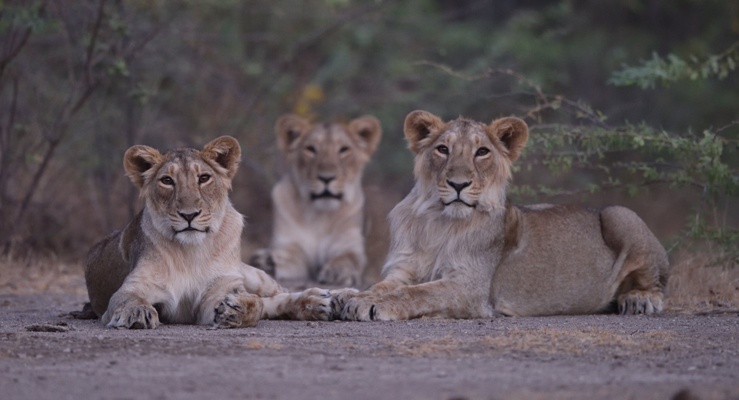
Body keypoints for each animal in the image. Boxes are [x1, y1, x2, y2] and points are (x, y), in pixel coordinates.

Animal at [83, 136, 332, 330]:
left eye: (203, 178)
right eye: (167, 181)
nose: (189, 215)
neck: (191, 252)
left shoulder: (220, 289)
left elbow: (256, 304)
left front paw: (238, 309)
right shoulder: (135, 285)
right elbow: (127, 298)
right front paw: (137, 312)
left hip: (252, 274)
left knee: (278, 293)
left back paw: (324, 300)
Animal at [251, 114, 384, 286]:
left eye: (344, 149)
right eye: (311, 149)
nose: (326, 178)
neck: (320, 216)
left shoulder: (350, 246)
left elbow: (348, 258)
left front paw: (337, 272)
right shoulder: (289, 243)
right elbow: (291, 256)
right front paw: (267, 261)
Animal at [342, 110, 672, 322]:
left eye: (482, 152)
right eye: (443, 149)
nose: (458, 184)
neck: (440, 222)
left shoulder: (471, 288)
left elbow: (415, 294)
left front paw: (370, 304)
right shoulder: (403, 270)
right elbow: (385, 286)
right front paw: (348, 296)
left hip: (621, 214)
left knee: (657, 284)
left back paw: (638, 299)